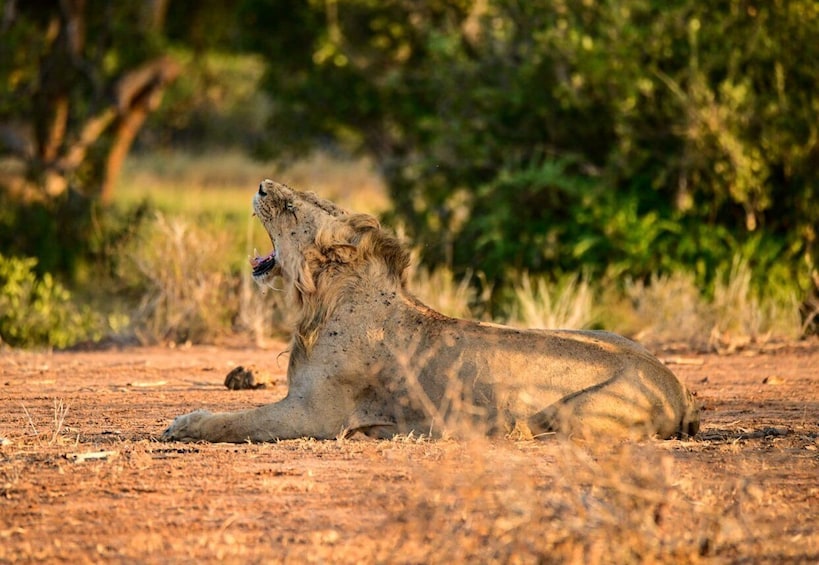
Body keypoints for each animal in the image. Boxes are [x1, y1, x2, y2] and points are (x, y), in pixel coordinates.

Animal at [163, 180, 700, 440]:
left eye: (294, 208)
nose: (262, 185)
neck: (318, 303)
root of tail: (677, 388)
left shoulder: (314, 415)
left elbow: (236, 422)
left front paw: (184, 424)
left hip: (575, 412)